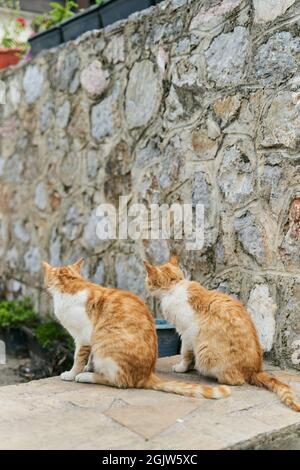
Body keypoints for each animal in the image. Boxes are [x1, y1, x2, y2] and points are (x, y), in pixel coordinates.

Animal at [42, 258, 230, 398]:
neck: (72, 285)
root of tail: (147, 375)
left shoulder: (83, 337)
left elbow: (78, 359)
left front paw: (72, 373)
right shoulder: (88, 340)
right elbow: (88, 358)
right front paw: (89, 366)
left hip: (106, 350)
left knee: (117, 381)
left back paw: (86, 377)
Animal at [145, 255, 300, 414]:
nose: (146, 288)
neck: (175, 286)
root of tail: (256, 369)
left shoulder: (186, 334)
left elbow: (185, 354)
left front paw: (182, 368)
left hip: (206, 352)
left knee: (235, 380)